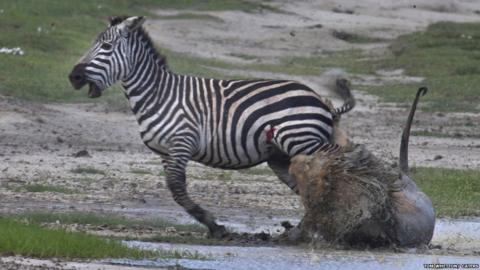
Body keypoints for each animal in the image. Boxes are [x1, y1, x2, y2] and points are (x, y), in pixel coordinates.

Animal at [70, 15, 356, 237]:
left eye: (106, 46)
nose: (74, 77)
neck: (158, 95)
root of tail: (318, 98)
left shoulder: (182, 142)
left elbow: (177, 188)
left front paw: (215, 226)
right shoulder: (165, 151)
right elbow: (175, 191)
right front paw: (212, 225)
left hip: (303, 141)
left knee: (332, 173)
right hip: (281, 155)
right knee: (307, 187)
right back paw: (306, 229)